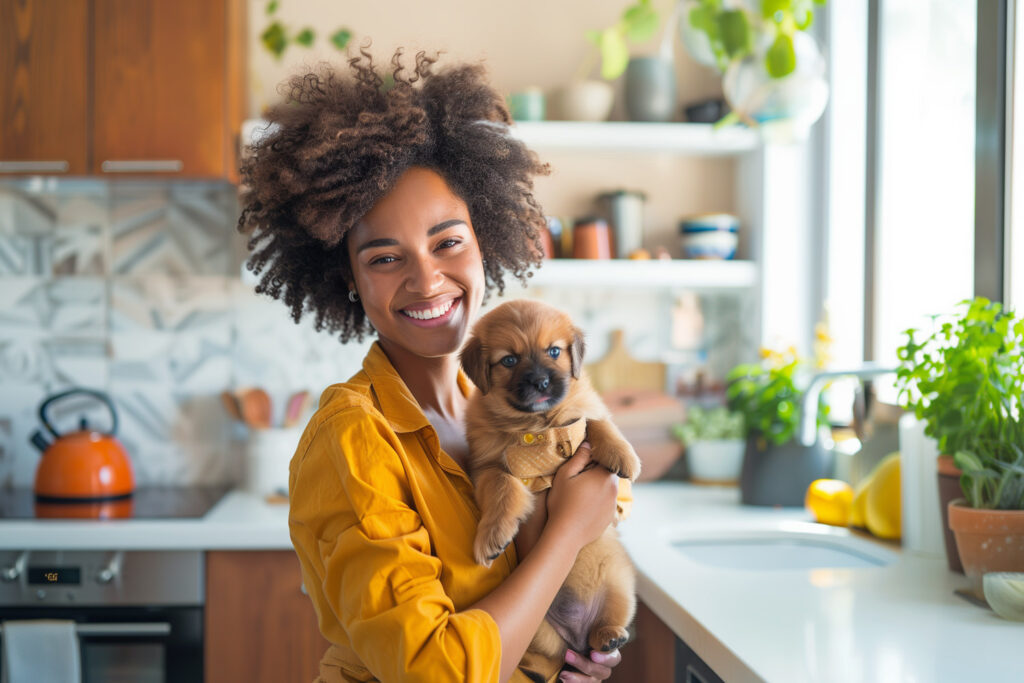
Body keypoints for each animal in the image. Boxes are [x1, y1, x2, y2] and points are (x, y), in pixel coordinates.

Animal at [462, 301, 638, 663]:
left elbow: (595, 422)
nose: (541, 382)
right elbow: (502, 485)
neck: (536, 423)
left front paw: (623, 455)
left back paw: (610, 636)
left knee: (602, 631)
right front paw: (493, 534)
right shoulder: (485, 467)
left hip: (621, 585)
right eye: (509, 360)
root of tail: (576, 634)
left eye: (554, 351)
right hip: (539, 632)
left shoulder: (582, 413)